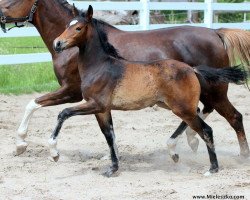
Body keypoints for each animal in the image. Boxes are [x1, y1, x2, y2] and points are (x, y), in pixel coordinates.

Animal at [51, 5, 247, 177]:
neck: (100, 66)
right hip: (174, 106)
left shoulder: (96, 104)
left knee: (210, 128)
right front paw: (112, 169)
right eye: (67, 25)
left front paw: (54, 153)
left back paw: (213, 167)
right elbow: (109, 136)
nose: (57, 43)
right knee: (202, 117)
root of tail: (192, 69)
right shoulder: (103, 110)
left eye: (78, 28)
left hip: (185, 107)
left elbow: (63, 113)